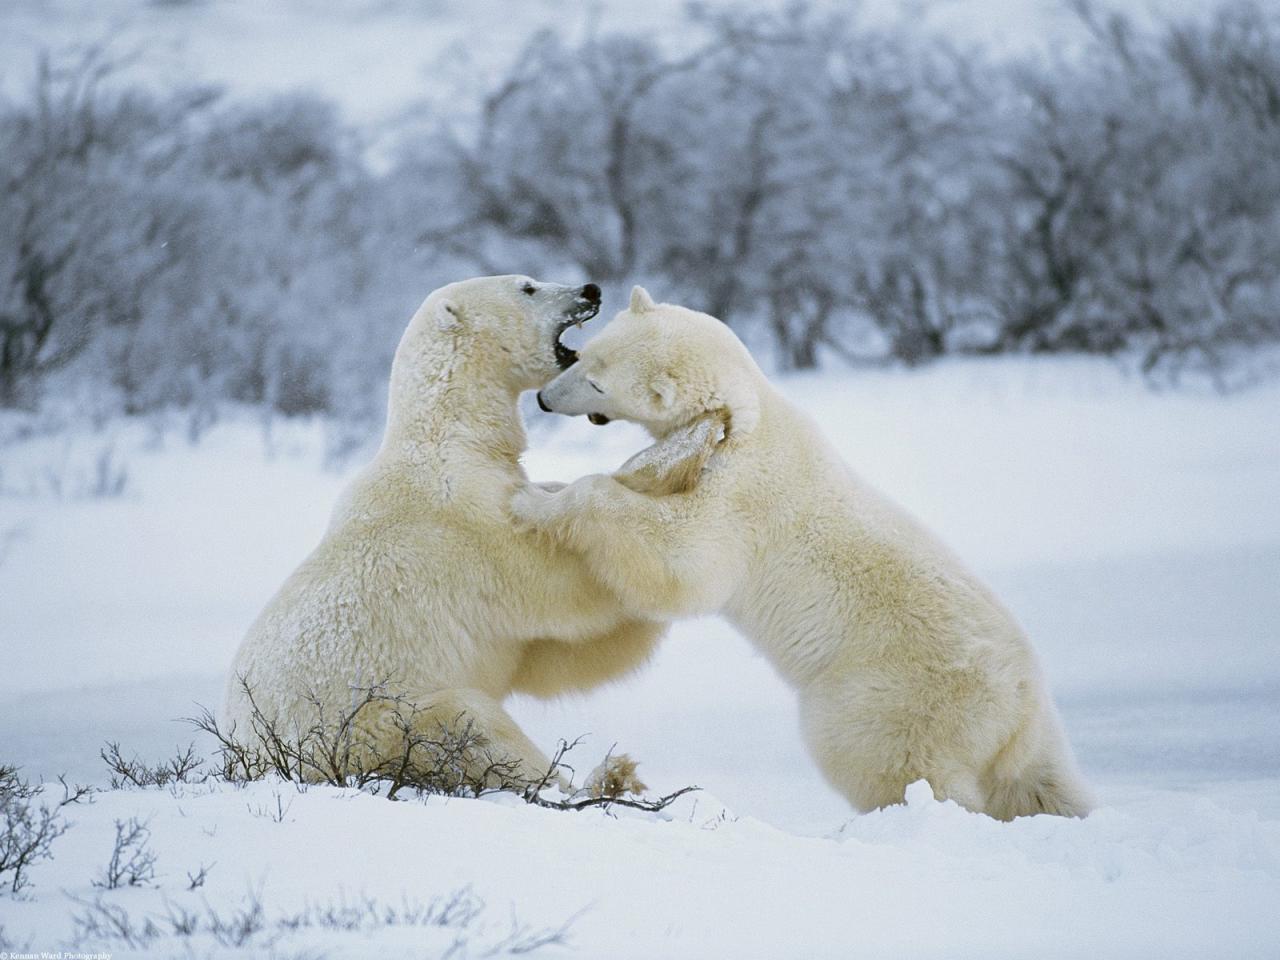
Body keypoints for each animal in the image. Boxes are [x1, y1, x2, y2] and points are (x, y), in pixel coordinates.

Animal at [224, 277, 670, 788]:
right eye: (528, 286)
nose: (590, 289)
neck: (452, 440)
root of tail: (248, 759)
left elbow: (550, 657)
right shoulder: (466, 525)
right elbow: (560, 588)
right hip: (373, 722)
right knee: (469, 726)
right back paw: (592, 777)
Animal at [514, 285, 1095, 819]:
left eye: (596, 382)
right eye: (585, 354)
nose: (545, 400)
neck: (748, 416)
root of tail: (1022, 705)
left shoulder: (741, 498)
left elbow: (683, 561)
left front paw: (535, 502)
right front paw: (543, 485)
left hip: (892, 694)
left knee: (886, 759)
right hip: (1020, 735)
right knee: (1040, 783)